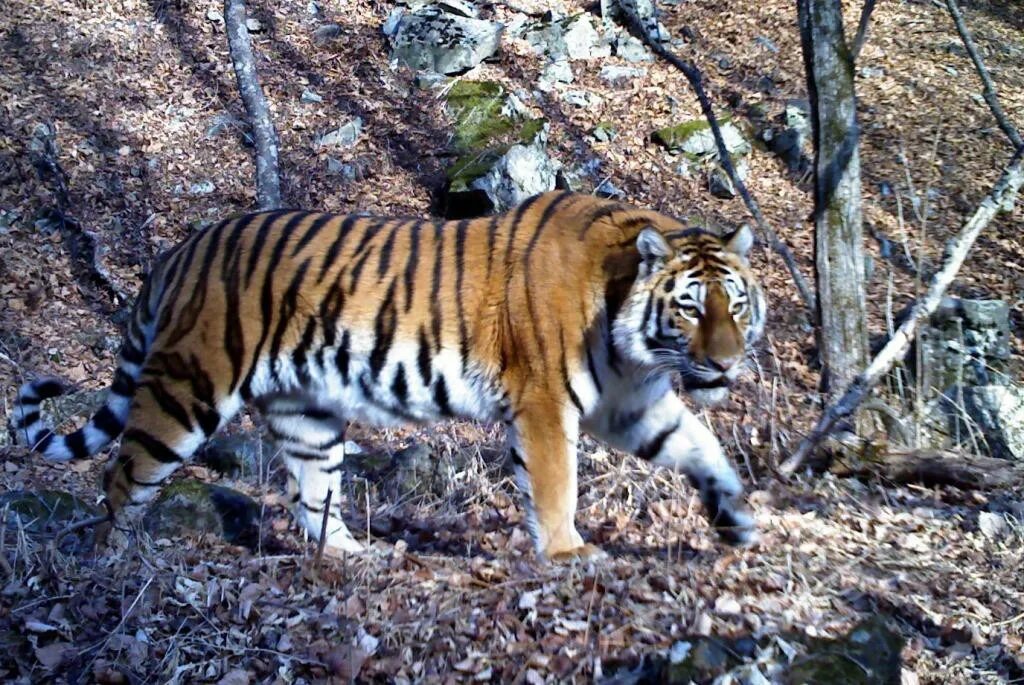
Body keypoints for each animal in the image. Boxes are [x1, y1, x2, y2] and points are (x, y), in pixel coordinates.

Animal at [12, 189, 765, 557]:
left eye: (736, 304)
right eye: (691, 307)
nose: (725, 362)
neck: (631, 340)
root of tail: (182, 248)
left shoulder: (629, 404)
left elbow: (703, 448)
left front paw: (737, 522)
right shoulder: (546, 404)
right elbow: (556, 487)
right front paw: (567, 555)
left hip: (307, 413)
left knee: (312, 497)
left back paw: (356, 556)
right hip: (186, 389)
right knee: (122, 480)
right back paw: (114, 568)